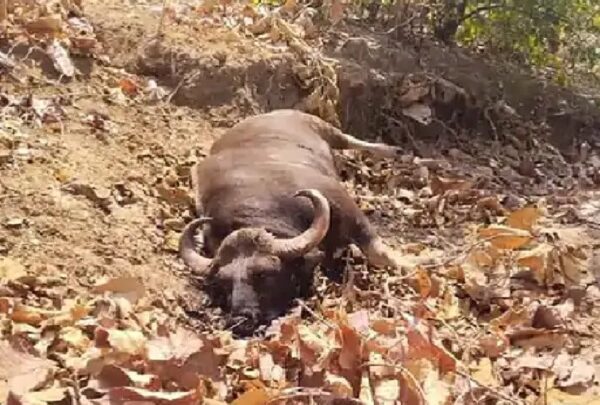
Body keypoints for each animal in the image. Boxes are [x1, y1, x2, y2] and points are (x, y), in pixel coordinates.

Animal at [178, 109, 404, 332]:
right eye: (225, 282)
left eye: (263, 273)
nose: (240, 320)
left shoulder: (343, 202)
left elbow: (379, 253)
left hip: (322, 126)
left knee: (348, 139)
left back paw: (395, 151)